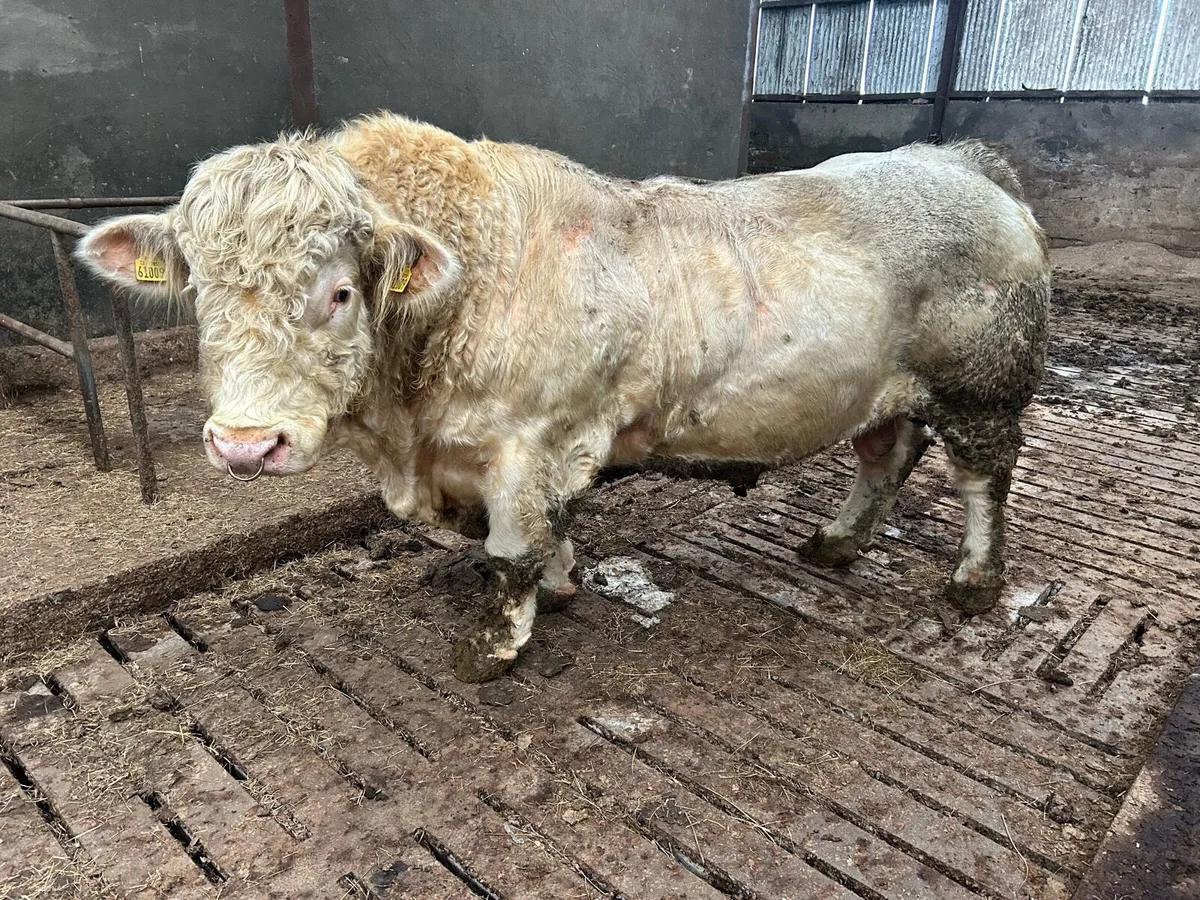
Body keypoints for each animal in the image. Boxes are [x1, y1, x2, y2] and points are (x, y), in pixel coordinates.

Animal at [77, 114, 1049, 682]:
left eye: (340, 292)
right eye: (200, 291)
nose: (247, 444)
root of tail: (959, 160)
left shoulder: (525, 440)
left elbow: (509, 548)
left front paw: (495, 642)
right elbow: (548, 530)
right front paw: (565, 580)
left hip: (986, 389)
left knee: (982, 482)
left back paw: (974, 581)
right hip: (884, 392)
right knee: (886, 456)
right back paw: (839, 542)